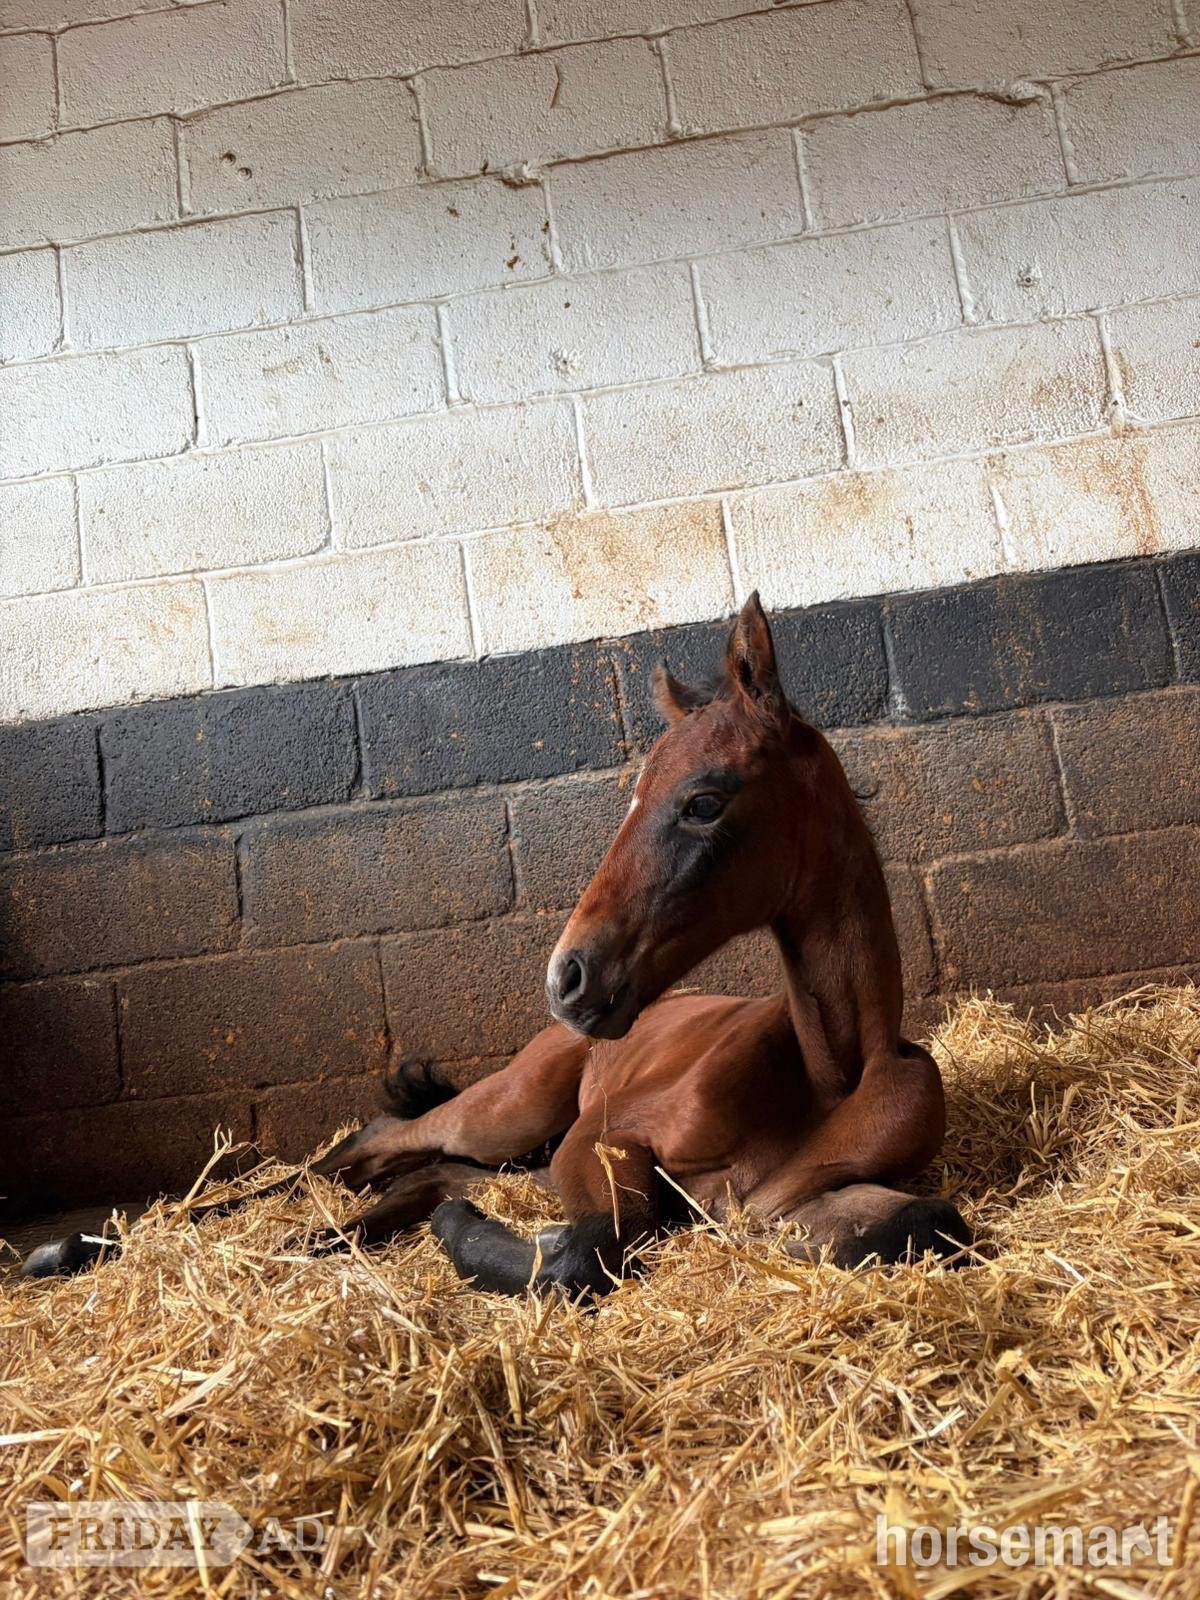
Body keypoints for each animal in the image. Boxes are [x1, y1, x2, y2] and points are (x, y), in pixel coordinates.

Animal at [20, 594, 969, 1289]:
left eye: (704, 800)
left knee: (414, 1173)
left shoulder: (782, 1205)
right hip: (508, 1112)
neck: (826, 1074)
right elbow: (586, 1250)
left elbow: (928, 1225)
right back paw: (86, 1245)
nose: (570, 977)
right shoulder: (602, 1142)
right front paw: (474, 1240)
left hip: (517, 1150)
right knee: (367, 1147)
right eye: (633, 794)